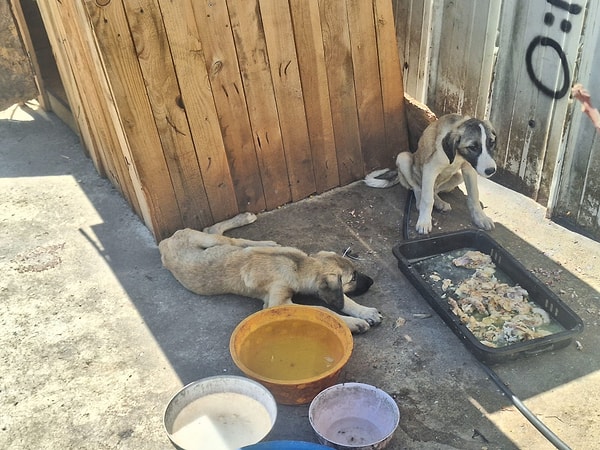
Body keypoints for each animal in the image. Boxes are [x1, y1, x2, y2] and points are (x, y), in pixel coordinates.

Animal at [159, 213, 382, 332]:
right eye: (353, 278)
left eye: (356, 272)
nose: (371, 282)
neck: (298, 266)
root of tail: (163, 243)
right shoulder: (277, 303)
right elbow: (322, 309)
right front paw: (354, 323)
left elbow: (345, 301)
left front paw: (366, 312)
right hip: (207, 240)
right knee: (223, 235)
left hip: (213, 242)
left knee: (218, 233)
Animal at [366, 112, 496, 234]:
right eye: (473, 147)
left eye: (491, 143)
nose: (491, 170)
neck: (457, 155)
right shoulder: (430, 169)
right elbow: (427, 199)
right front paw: (424, 221)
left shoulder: (469, 169)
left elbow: (474, 195)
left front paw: (481, 218)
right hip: (403, 158)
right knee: (418, 188)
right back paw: (420, 203)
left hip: (458, 177)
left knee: (434, 190)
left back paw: (440, 202)